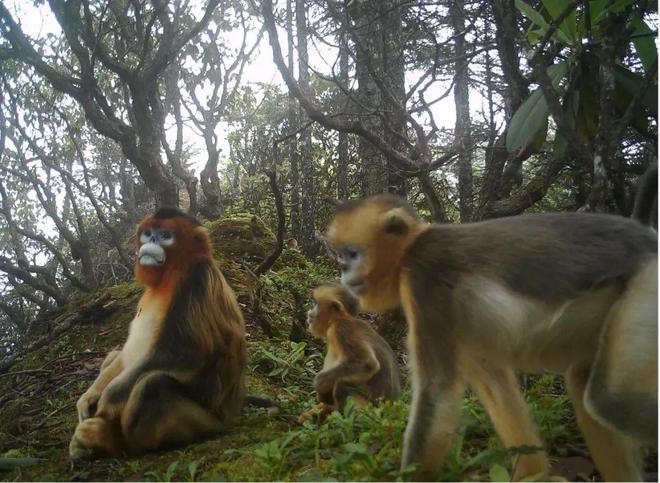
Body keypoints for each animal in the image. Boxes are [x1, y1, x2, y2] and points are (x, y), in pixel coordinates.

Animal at [69, 208, 248, 458]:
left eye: (165, 236)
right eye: (149, 233)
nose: (152, 241)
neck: (171, 273)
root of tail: (231, 414)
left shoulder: (196, 277)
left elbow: (183, 353)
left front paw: (106, 401)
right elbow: (125, 354)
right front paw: (89, 396)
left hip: (208, 422)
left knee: (153, 385)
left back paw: (112, 441)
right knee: (118, 357)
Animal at [300, 284, 402, 424]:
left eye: (315, 304)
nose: (309, 312)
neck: (339, 319)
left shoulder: (341, 329)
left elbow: (368, 364)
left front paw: (319, 384)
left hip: (371, 411)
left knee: (341, 386)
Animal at [328, 195, 656, 482]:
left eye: (352, 254)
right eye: (342, 257)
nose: (343, 270)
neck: (411, 249)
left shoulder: (424, 277)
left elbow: (438, 390)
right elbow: (494, 384)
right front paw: (535, 477)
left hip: (648, 284)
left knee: (609, 400)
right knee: (583, 381)